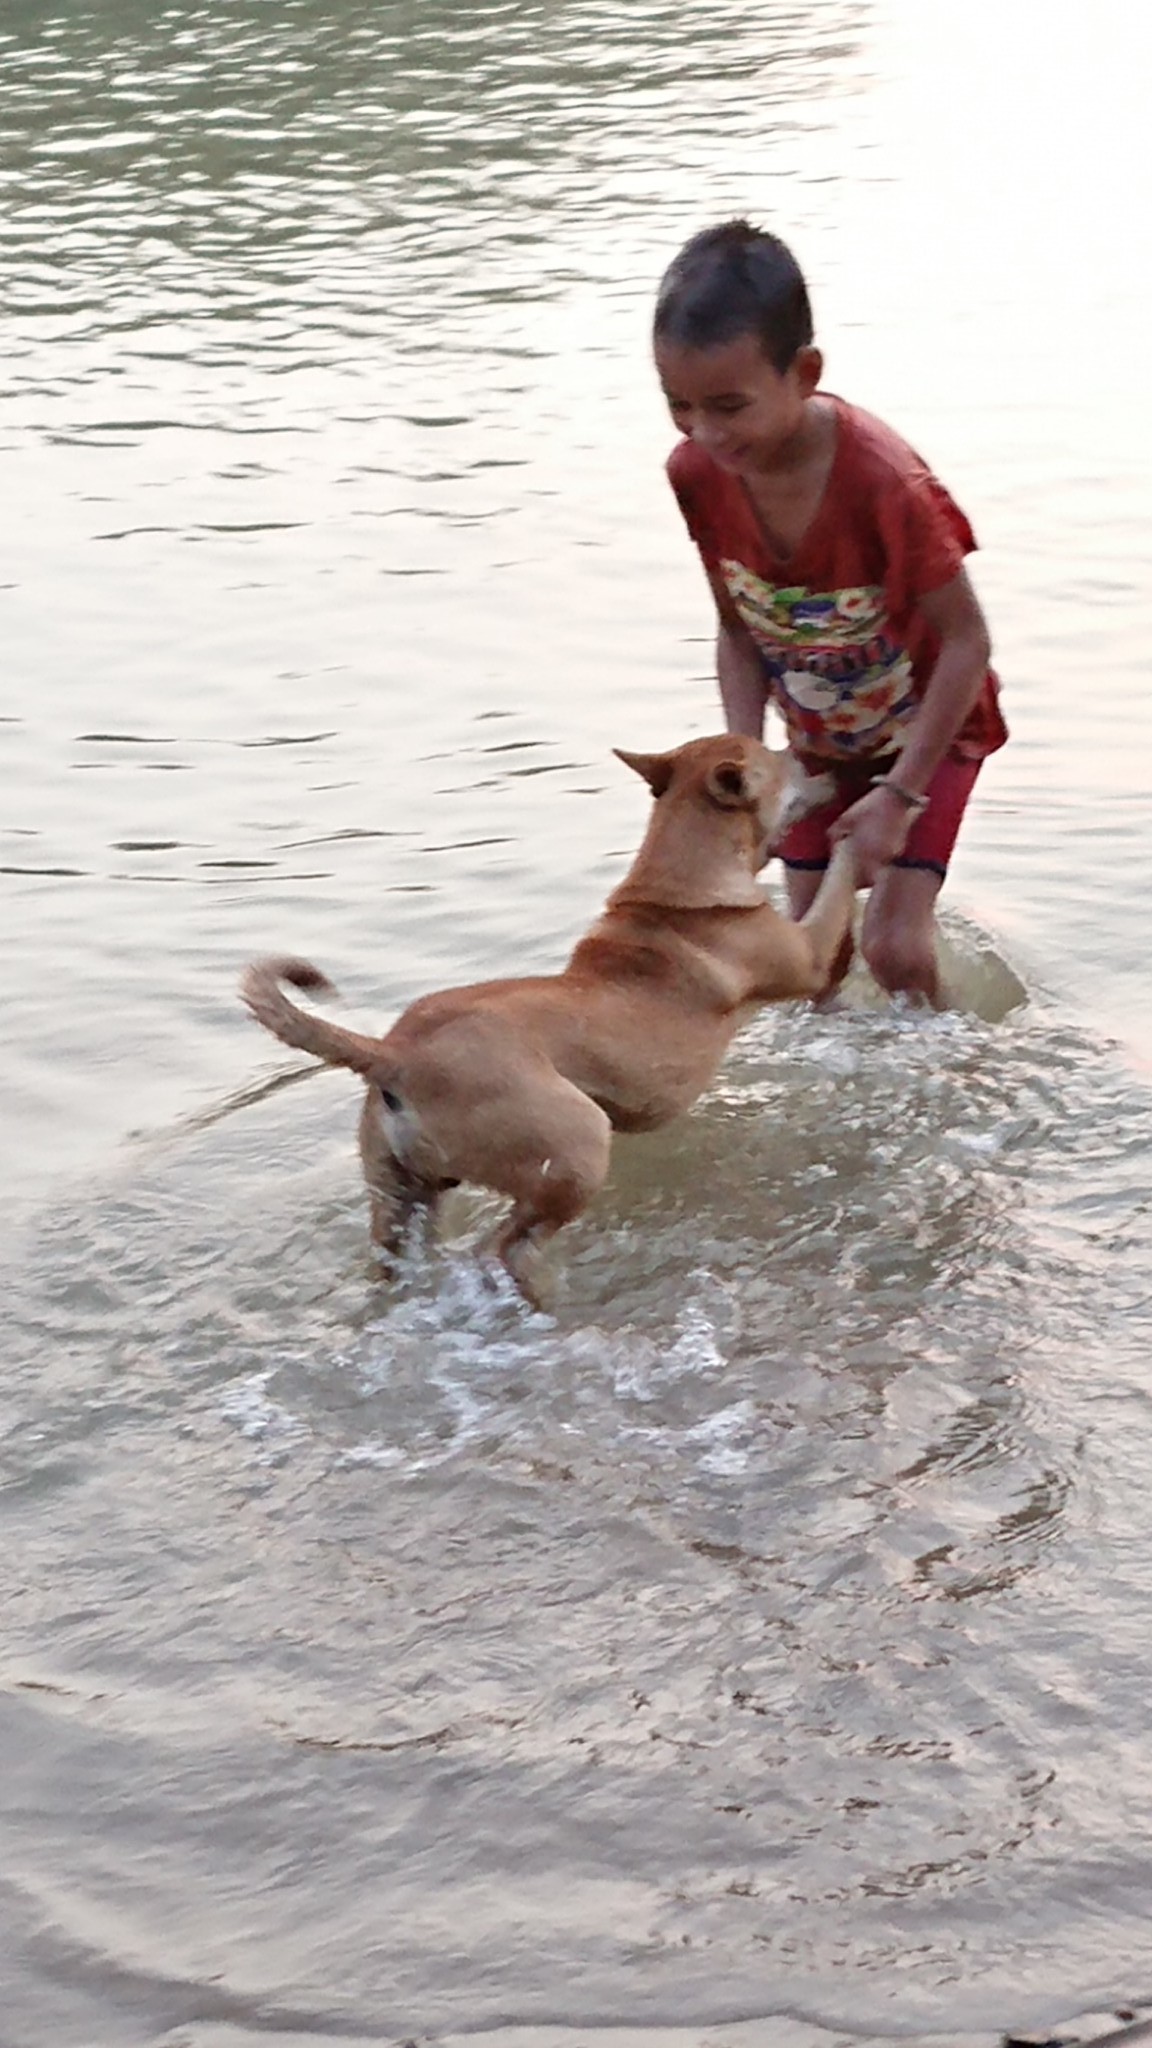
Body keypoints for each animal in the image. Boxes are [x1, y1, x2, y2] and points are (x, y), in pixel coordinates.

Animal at [241, 737, 852, 1302]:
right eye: (783, 761)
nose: (820, 758)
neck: (685, 876)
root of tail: (394, 1055)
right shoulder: (809, 954)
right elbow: (839, 887)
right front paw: (863, 828)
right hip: (579, 1145)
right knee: (503, 1247)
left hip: (402, 1196)